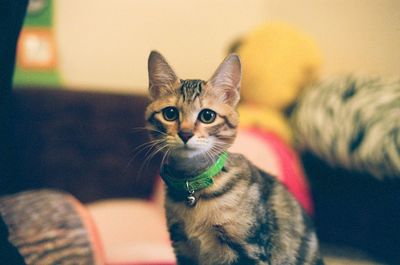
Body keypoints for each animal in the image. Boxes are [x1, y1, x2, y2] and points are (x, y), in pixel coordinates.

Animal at [145, 50, 324, 264]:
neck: (195, 188)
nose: (185, 134)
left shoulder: (249, 249)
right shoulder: (183, 248)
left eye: (207, 116)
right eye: (170, 113)